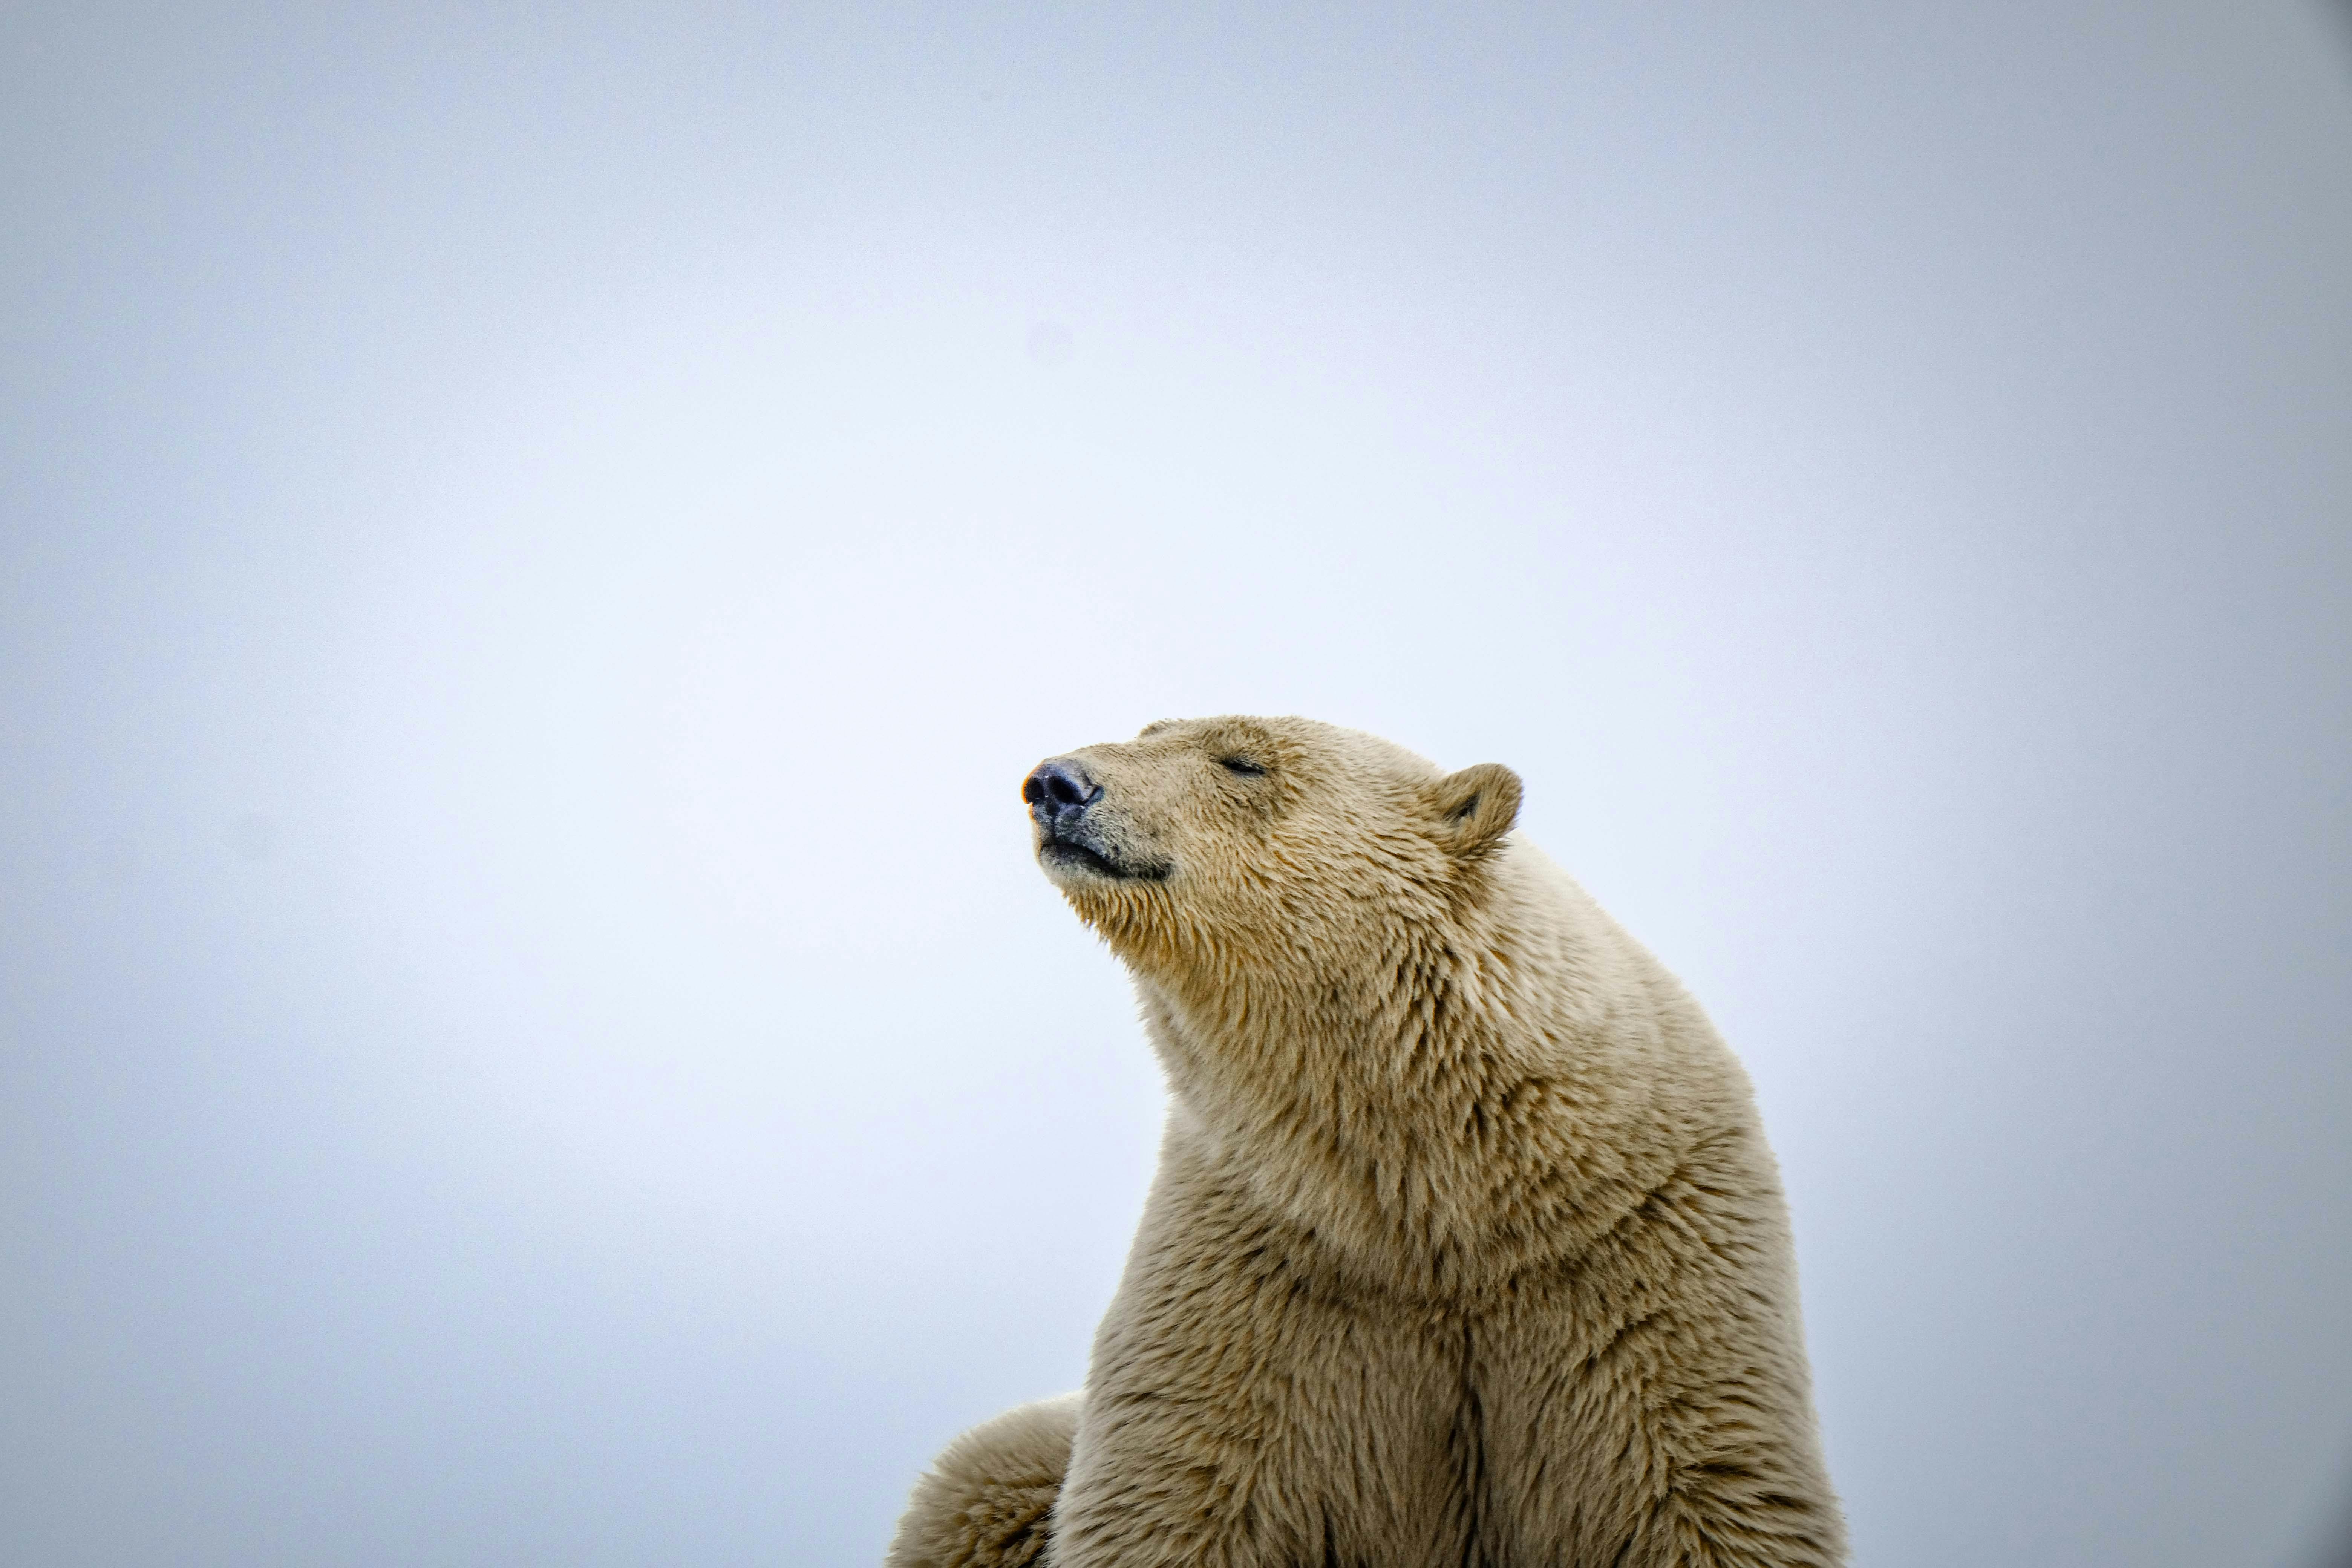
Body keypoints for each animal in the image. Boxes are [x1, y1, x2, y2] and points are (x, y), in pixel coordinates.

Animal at [889, 719, 1844, 1568]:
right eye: (1147, 728)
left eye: (1242, 759)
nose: (1056, 782)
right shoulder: (1256, 1264)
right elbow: (1173, 1488)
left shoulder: (1644, 1264)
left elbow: (1704, 1489)